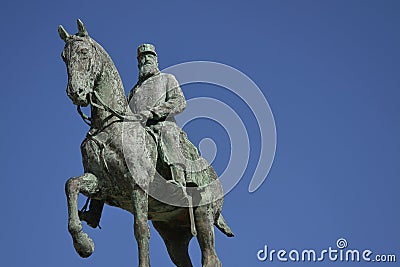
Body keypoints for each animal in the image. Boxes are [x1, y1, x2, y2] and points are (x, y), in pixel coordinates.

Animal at [59, 19, 234, 267]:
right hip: (173, 232)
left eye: (84, 52)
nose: (76, 92)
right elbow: (71, 185)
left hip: (203, 214)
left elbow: (140, 230)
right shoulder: (100, 182)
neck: (109, 127)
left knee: (210, 257)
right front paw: (83, 243)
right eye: (64, 56)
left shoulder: (138, 187)